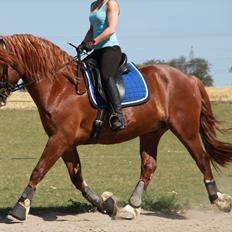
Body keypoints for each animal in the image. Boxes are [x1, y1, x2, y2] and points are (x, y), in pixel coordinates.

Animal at [0, 33, 232, 220]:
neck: (61, 86)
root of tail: (190, 78)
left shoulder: (60, 139)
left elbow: (38, 170)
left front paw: (20, 207)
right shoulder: (64, 141)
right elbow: (76, 177)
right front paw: (106, 205)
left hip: (185, 129)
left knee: (201, 159)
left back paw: (219, 200)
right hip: (151, 132)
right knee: (149, 166)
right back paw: (132, 207)